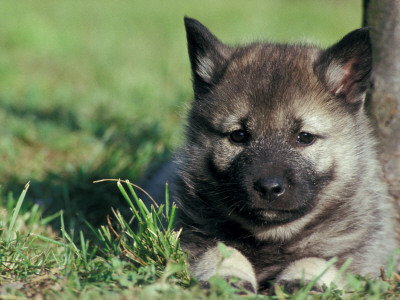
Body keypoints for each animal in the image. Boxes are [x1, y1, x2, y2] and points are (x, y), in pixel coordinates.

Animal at [143, 17, 396, 292]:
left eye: (304, 137)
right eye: (238, 135)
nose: (268, 188)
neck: (271, 237)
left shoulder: (358, 252)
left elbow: (319, 259)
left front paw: (303, 278)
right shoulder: (191, 235)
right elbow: (221, 249)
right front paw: (228, 275)